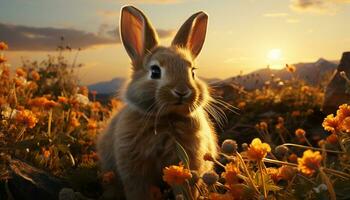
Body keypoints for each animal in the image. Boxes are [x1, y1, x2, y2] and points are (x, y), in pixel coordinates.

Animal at [97, 5, 217, 200]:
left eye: (193, 72)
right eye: (154, 71)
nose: (182, 91)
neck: (167, 119)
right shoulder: (134, 170)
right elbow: (138, 190)